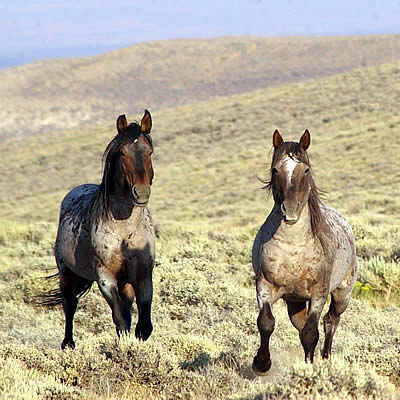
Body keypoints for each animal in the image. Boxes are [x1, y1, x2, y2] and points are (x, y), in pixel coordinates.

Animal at [43, 111, 155, 348]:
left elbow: (143, 326)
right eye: (122, 153)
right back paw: (68, 344)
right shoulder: (105, 277)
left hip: (125, 283)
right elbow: (121, 319)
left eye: (149, 151)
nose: (141, 193)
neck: (125, 232)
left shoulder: (143, 276)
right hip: (67, 274)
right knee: (69, 305)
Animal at [252, 129, 358, 376]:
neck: (293, 247)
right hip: (295, 302)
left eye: (306, 170)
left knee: (330, 321)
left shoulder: (318, 292)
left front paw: (310, 369)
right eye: (275, 169)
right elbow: (266, 322)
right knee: (302, 326)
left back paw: (326, 357)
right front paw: (261, 363)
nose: (290, 211)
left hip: (342, 294)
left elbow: (311, 333)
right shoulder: (265, 285)